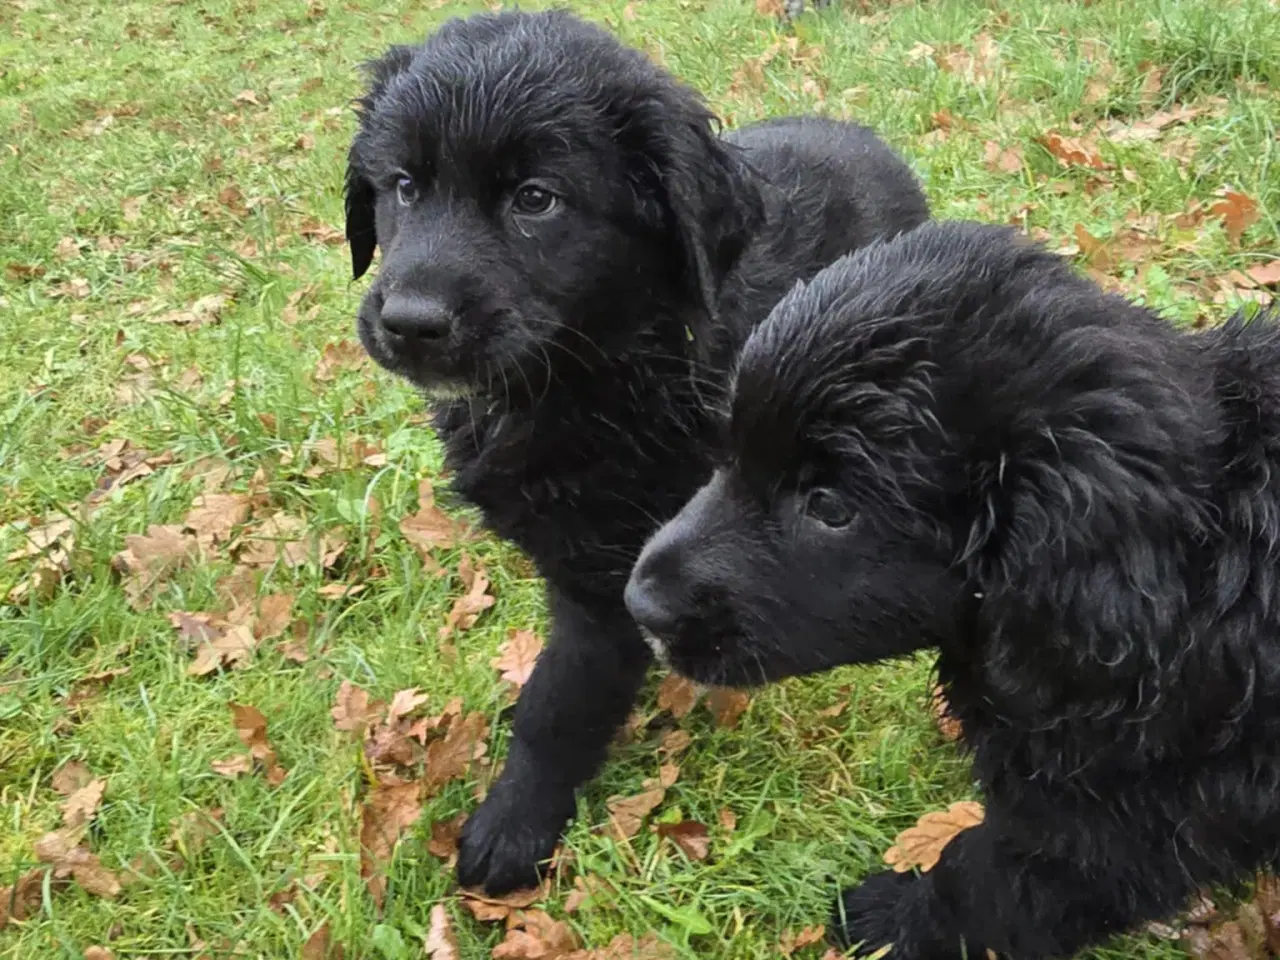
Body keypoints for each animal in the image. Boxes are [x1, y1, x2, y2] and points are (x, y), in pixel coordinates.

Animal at [345, 9, 931, 896]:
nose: (409, 322)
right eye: (404, 185)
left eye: (536, 200)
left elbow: (558, 702)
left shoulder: (614, 578)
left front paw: (513, 825)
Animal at [624, 220, 1280, 960]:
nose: (639, 605)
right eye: (729, 451)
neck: (1201, 567)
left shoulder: (1126, 818)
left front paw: (891, 919)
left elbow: (986, 878)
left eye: (829, 506)